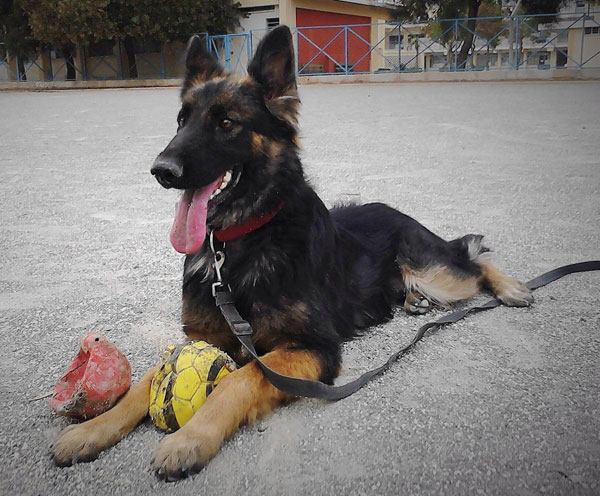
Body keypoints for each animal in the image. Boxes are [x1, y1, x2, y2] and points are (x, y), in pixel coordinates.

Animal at [50, 26, 528, 480]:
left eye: (227, 123)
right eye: (181, 120)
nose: (161, 171)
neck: (240, 245)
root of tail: (393, 209)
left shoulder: (313, 348)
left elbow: (241, 379)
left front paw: (190, 438)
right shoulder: (202, 337)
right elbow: (144, 383)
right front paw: (90, 430)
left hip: (435, 273)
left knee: (472, 259)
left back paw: (512, 288)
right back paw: (414, 301)